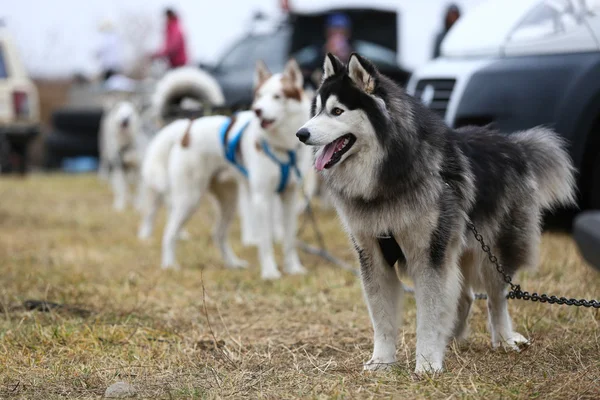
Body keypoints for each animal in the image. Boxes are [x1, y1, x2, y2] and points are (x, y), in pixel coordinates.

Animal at [138, 59, 312, 278]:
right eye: (259, 95)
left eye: (277, 96)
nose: (257, 111)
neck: (281, 146)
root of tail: (187, 127)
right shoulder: (261, 199)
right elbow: (265, 241)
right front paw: (270, 272)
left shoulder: (289, 197)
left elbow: (289, 239)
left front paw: (293, 268)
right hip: (190, 199)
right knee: (169, 232)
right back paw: (170, 265)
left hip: (229, 201)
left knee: (218, 234)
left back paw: (233, 263)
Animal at [296, 53, 576, 372]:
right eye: (317, 111)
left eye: (337, 111)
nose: (301, 133)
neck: (387, 177)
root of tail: (514, 143)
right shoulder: (373, 256)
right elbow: (382, 318)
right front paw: (382, 361)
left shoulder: (428, 254)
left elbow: (429, 314)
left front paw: (428, 363)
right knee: (465, 296)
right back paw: (452, 338)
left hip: (493, 251)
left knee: (496, 297)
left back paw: (504, 339)